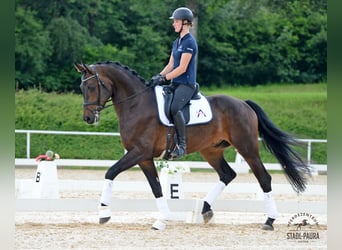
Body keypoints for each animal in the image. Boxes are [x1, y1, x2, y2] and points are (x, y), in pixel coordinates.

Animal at [74, 60, 310, 230]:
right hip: (211, 151)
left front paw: (104, 213)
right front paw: (162, 219)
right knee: (227, 174)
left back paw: (269, 221)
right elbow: (156, 187)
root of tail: (244, 104)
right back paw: (206, 210)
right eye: (82, 87)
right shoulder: (144, 158)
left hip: (247, 148)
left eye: (92, 86)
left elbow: (110, 172)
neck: (136, 104)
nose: (88, 118)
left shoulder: (138, 152)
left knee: (264, 178)